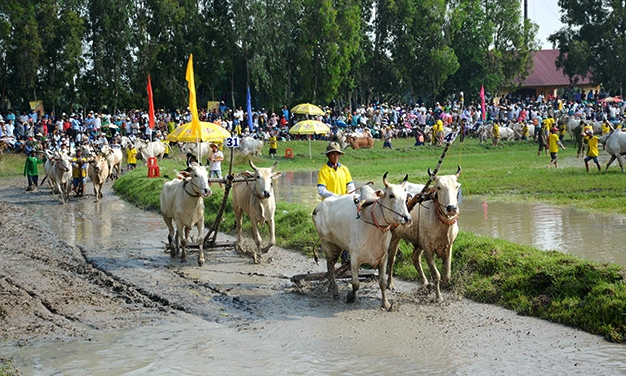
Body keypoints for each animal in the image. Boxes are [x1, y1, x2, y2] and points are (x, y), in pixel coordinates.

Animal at [310, 173, 410, 308]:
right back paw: (335, 290)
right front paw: (350, 297)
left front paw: (385, 303)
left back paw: (331, 288)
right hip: (328, 244)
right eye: (391, 195)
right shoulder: (354, 258)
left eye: (405, 197)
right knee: (330, 266)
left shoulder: (383, 257)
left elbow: (382, 283)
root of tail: (318, 207)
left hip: (337, 245)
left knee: (329, 266)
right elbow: (356, 284)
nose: (407, 218)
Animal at [386, 167, 458, 302]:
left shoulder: (449, 246)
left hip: (417, 243)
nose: (451, 208)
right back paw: (390, 283)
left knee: (415, 258)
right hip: (394, 237)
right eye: (439, 187)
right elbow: (436, 275)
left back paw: (425, 284)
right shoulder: (428, 248)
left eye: (456, 186)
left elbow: (447, 275)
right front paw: (438, 297)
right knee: (391, 259)